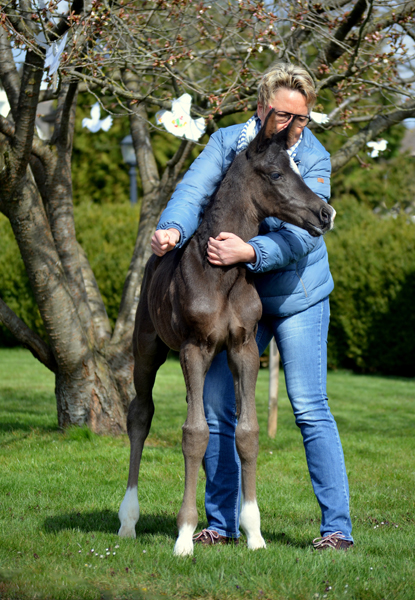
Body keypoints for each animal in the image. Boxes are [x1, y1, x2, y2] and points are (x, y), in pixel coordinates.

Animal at [117, 110, 334, 556]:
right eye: (276, 173)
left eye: (297, 167)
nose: (325, 214)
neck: (222, 274)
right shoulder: (194, 349)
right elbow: (194, 434)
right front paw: (184, 537)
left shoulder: (243, 348)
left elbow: (246, 433)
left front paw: (254, 533)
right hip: (147, 349)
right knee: (140, 415)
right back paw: (128, 520)